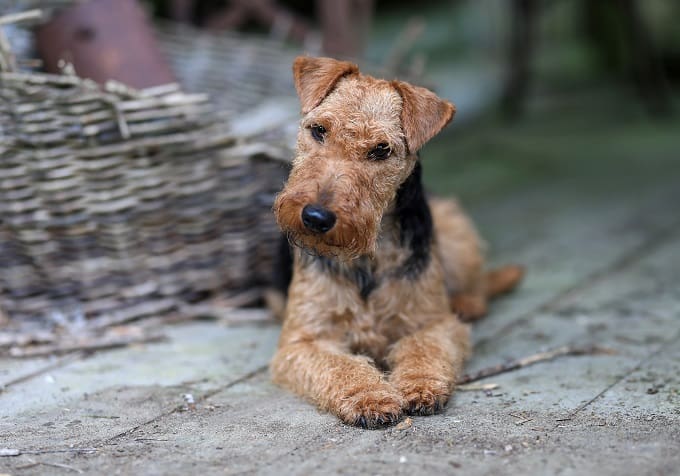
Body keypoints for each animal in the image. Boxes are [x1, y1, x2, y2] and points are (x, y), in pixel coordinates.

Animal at [268, 55, 524, 428]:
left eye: (381, 150)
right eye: (318, 130)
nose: (316, 217)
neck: (367, 258)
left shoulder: (433, 323)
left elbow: (422, 349)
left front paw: (420, 386)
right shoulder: (303, 341)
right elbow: (342, 366)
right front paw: (370, 397)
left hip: (455, 235)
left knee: (478, 287)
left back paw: (467, 303)